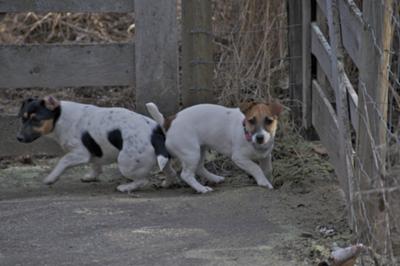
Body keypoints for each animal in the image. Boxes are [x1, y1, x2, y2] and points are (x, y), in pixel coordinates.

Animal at [16, 96, 175, 192]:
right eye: (23, 119)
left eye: (36, 120)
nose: (18, 138)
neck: (59, 118)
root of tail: (155, 132)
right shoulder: (94, 151)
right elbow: (96, 165)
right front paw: (91, 176)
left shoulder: (80, 153)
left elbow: (63, 161)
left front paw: (51, 178)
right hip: (162, 159)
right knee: (170, 171)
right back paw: (167, 183)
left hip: (126, 163)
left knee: (142, 180)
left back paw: (125, 187)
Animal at [147, 100, 284, 193]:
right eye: (251, 121)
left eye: (269, 121)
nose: (260, 137)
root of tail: (168, 122)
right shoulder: (239, 158)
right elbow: (256, 168)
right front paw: (263, 182)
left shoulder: (265, 156)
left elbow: (267, 170)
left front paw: (268, 181)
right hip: (191, 153)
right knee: (186, 175)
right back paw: (201, 188)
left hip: (200, 150)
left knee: (199, 168)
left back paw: (215, 179)